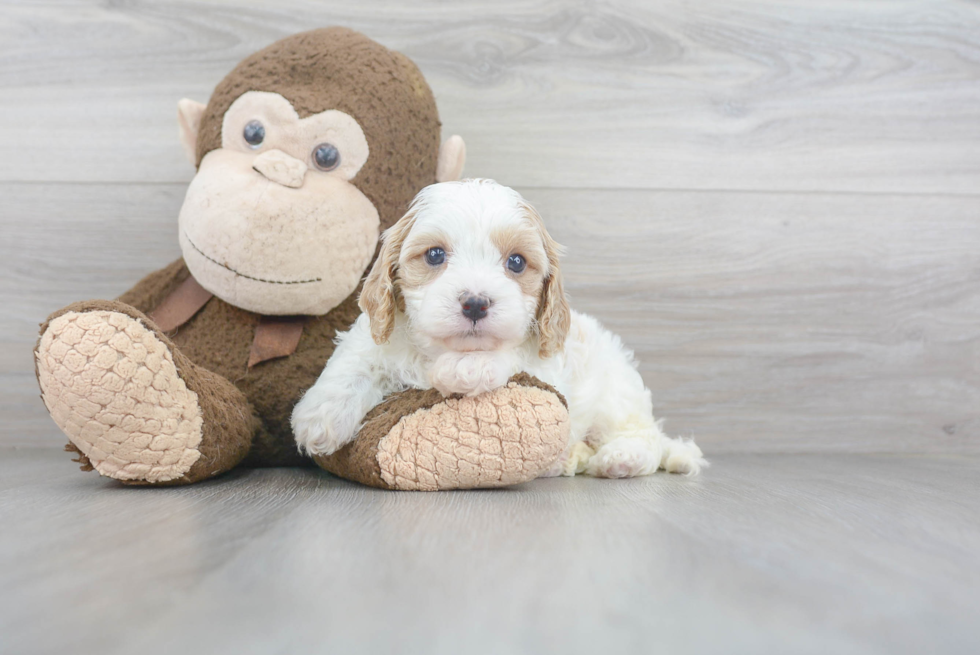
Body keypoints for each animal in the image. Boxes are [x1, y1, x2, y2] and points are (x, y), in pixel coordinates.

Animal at [290, 179, 704, 476]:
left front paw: (466, 367)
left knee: (644, 434)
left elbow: (510, 356)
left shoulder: (547, 366)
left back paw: (621, 459)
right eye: (435, 255)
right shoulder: (378, 332)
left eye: (516, 262)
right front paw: (320, 417)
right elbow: (355, 359)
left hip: (616, 393)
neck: (440, 350)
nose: (475, 302)